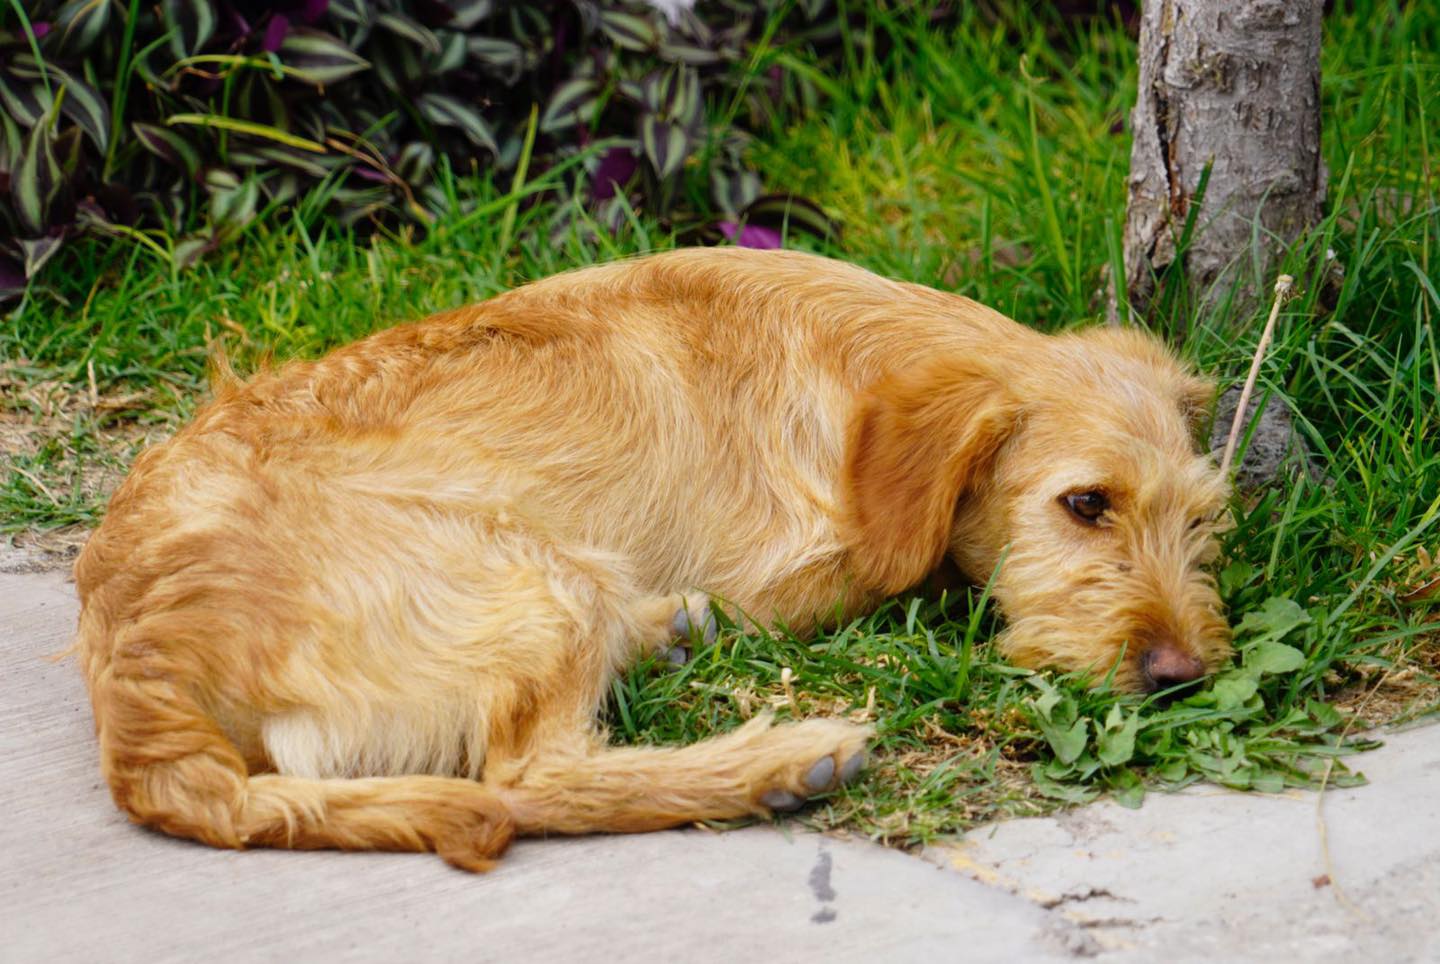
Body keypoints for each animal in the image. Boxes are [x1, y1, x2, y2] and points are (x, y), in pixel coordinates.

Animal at [73, 246, 1232, 864]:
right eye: (1084, 504)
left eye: (1204, 524)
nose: (1182, 677)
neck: (860, 362)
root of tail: (140, 685)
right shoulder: (793, 576)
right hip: (535, 575)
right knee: (527, 777)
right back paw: (772, 761)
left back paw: (665, 630)